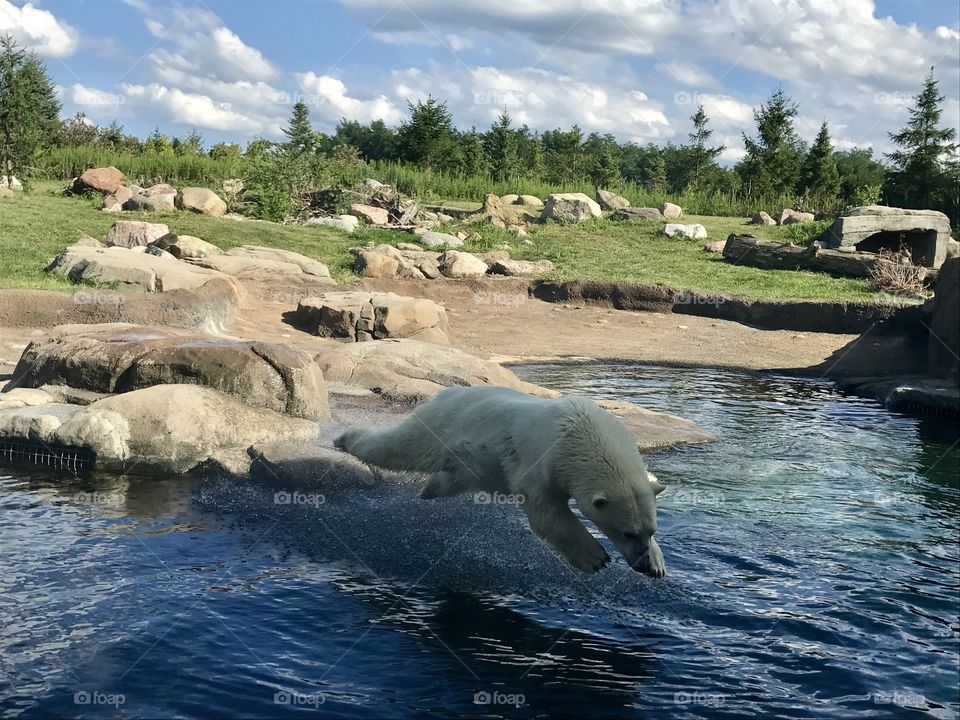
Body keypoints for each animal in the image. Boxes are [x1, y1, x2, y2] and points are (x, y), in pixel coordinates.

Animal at [334, 386, 664, 576]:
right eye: (627, 533)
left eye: (650, 531)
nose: (641, 564)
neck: (580, 432)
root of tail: (446, 392)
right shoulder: (541, 460)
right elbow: (547, 514)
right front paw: (595, 558)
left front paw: (658, 563)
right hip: (440, 426)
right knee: (399, 447)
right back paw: (344, 439)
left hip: (472, 461)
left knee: (457, 477)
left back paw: (429, 490)